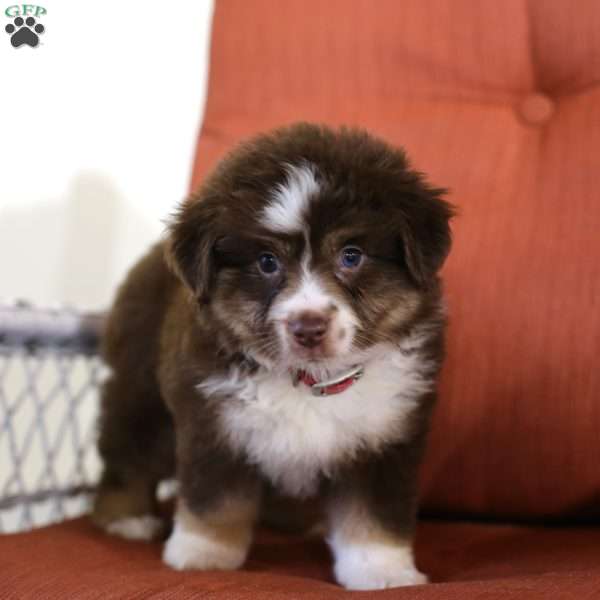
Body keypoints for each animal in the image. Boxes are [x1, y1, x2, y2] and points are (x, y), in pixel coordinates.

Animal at [91, 123, 452, 592]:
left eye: (351, 255)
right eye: (266, 262)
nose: (308, 327)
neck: (311, 380)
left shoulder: (386, 435)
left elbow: (375, 513)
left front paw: (383, 572)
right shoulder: (213, 420)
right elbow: (215, 499)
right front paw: (202, 555)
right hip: (142, 388)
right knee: (130, 451)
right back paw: (127, 518)